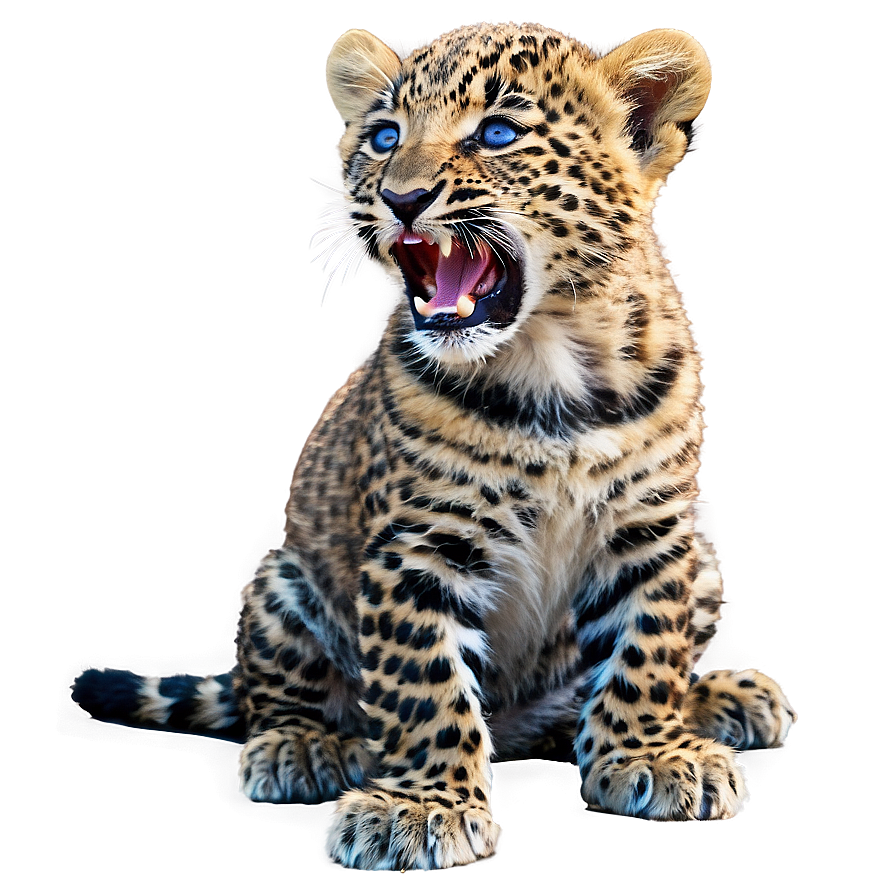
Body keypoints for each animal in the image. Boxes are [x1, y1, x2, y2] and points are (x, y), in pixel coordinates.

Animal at [72, 22, 796, 871]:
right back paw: (306, 747)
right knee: (276, 696)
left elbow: (645, 651)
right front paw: (420, 808)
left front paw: (651, 754)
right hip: (285, 584)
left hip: (703, 569)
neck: (554, 368)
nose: (401, 198)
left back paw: (718, 699)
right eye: (384, 138)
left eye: (498, 134)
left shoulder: (649, 533)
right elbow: (424, 685)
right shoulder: (419, 547)